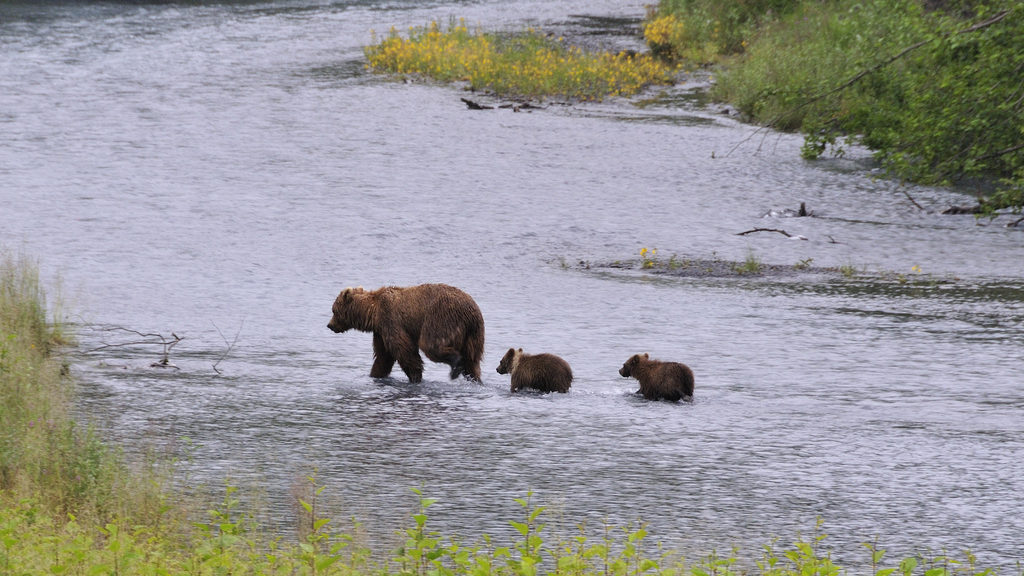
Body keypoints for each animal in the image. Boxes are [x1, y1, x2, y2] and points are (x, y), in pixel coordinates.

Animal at [329, 282, 485, 381]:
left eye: (334, 310)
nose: (329, 325)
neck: (373, 313)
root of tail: (471, 313)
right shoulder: (380, 332)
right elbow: (383, 356)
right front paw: (375, 374)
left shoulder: (390, 319)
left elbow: (404, 350)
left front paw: (415, 376)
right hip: (474, 335)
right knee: (473, 361)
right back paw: (474, 379)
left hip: (441, 318)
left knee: (430, 344)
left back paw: (456, 365)